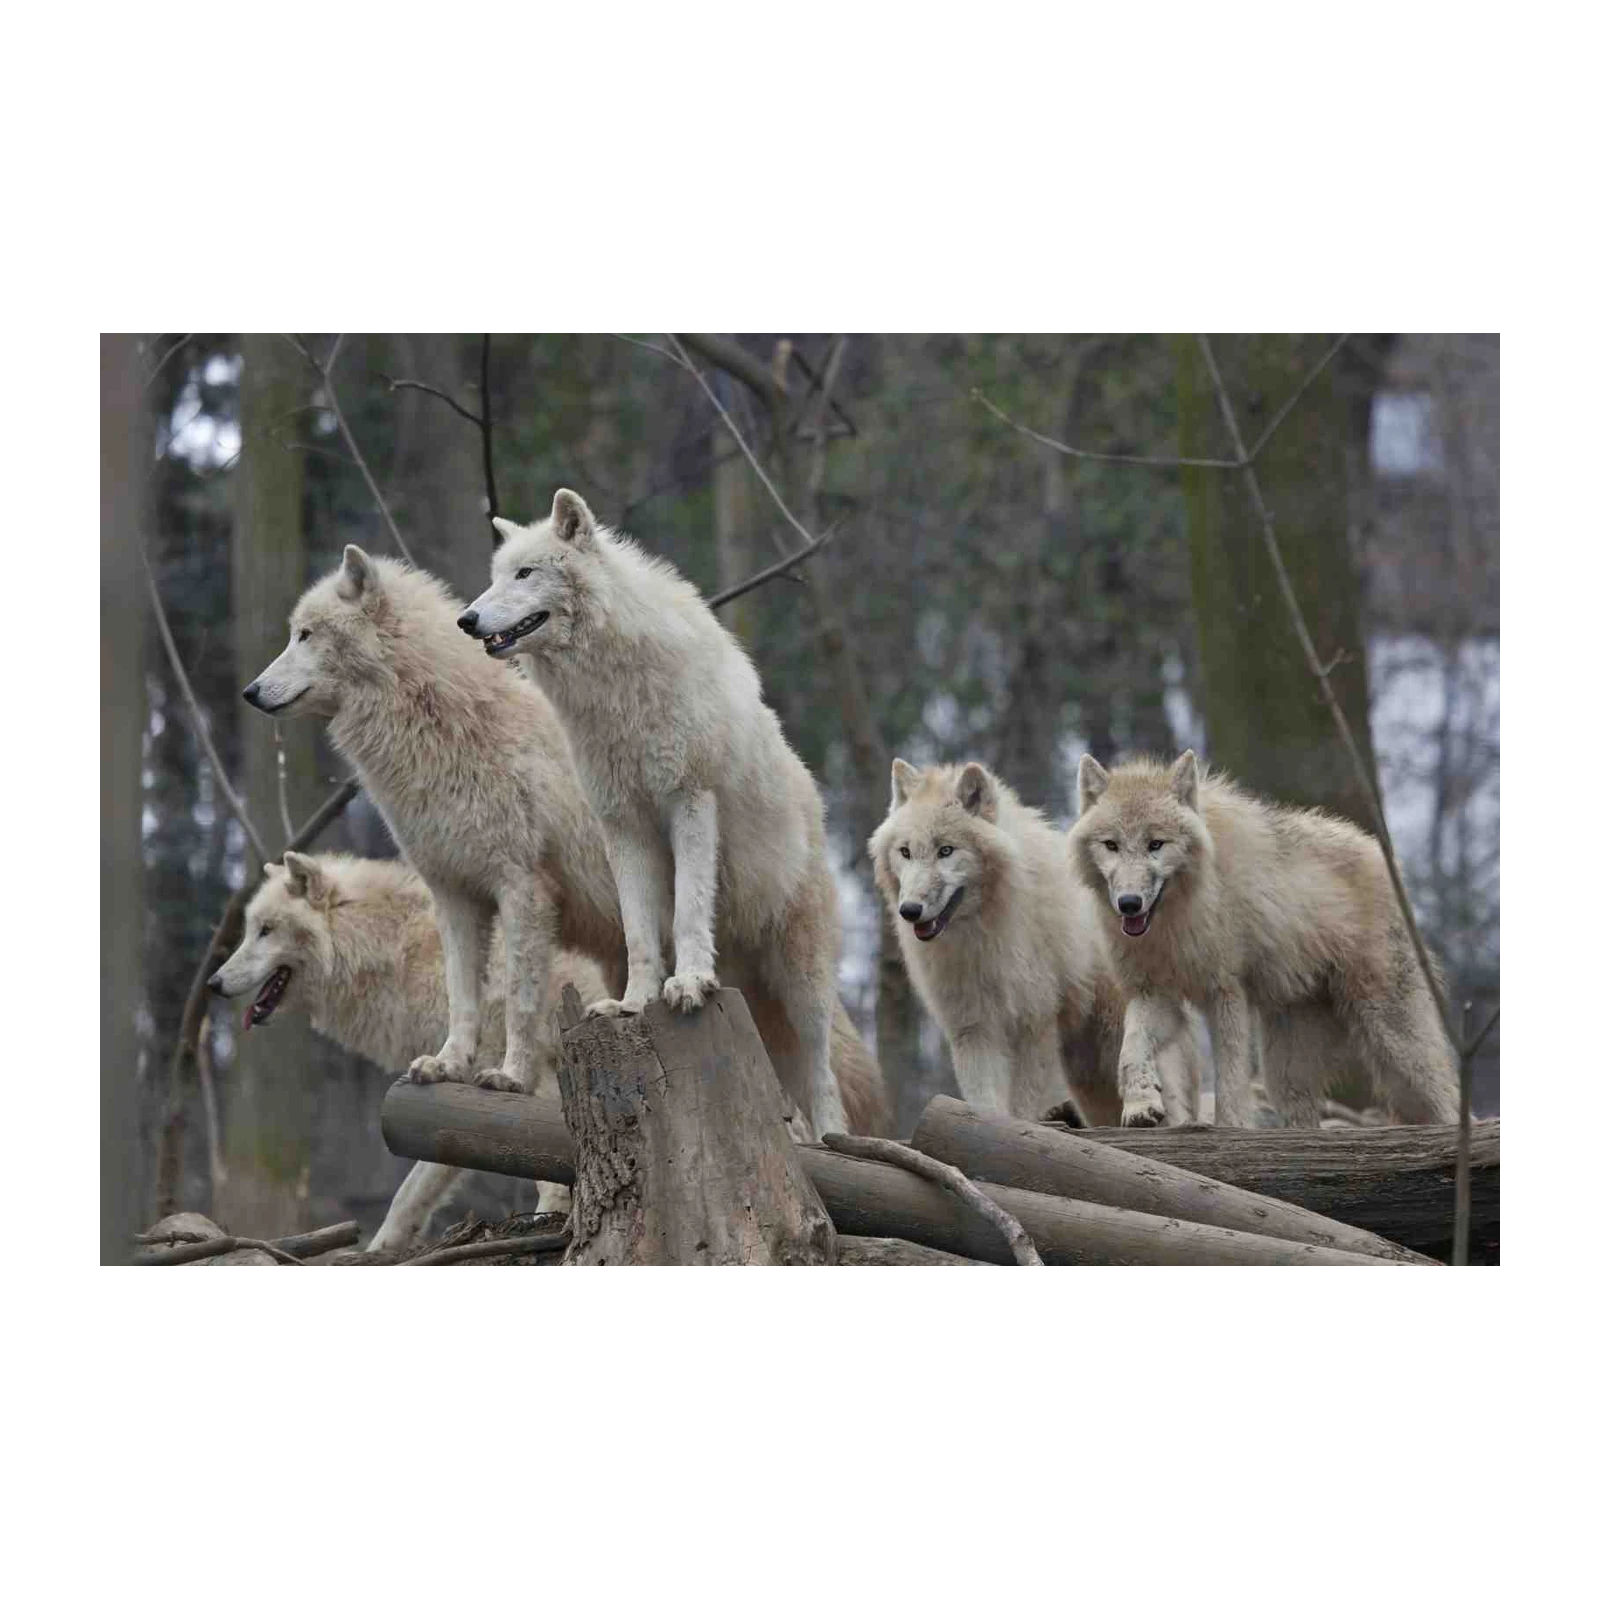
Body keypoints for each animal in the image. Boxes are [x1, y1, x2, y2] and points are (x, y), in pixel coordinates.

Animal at [210, 851, 890, 1252]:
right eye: (248, 930)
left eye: (265, 931)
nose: (214, 983)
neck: (398, 951)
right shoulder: (457, 1100)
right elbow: (414, 1187)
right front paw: (382, 1251)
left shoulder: (534, 1071)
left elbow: (541, 1163)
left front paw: (554, 1220)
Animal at [242, 546, 628, 1103]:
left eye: (306, 635)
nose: (250, 691)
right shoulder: (453, 893)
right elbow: (461, 995)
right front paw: (446, 1065)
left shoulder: (523, 888)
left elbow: (519, 997)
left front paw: (510, 1076)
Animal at [460, 488, 850, 1141]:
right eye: (493, 577)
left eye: (525, 573)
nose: (466, 620)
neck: (612, 694)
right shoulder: (623, 825)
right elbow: (641, 930)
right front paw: (635, 1001)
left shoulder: (689, 802)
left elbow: (688, 911)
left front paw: (687, 983)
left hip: (802, 979)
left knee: (824, 1075)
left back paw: (832, 1138)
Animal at [868, 758, 1203, 1126]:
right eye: (905, 852)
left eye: (946, 851)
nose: (910, 910)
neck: (983, 933)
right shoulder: (973, 1029)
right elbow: (985, 1101)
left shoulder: (1034, 1026)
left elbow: (1022, 1104)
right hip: (1087, 1076)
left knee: (1175, 1105)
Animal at [1069, 750, 1460, 1127]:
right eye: (1112, 845)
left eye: (1156, 844)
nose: (1129, 903)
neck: (1175, 920)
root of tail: (1384, 858)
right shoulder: (1154, 993)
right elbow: (1131, 1048)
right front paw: (1141, 1105)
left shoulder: (1226, 992)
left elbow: (1230, 1081)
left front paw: (1230, 1128)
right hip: (1286, 1072)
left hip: (1394, 1042)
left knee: (1447, 1104)